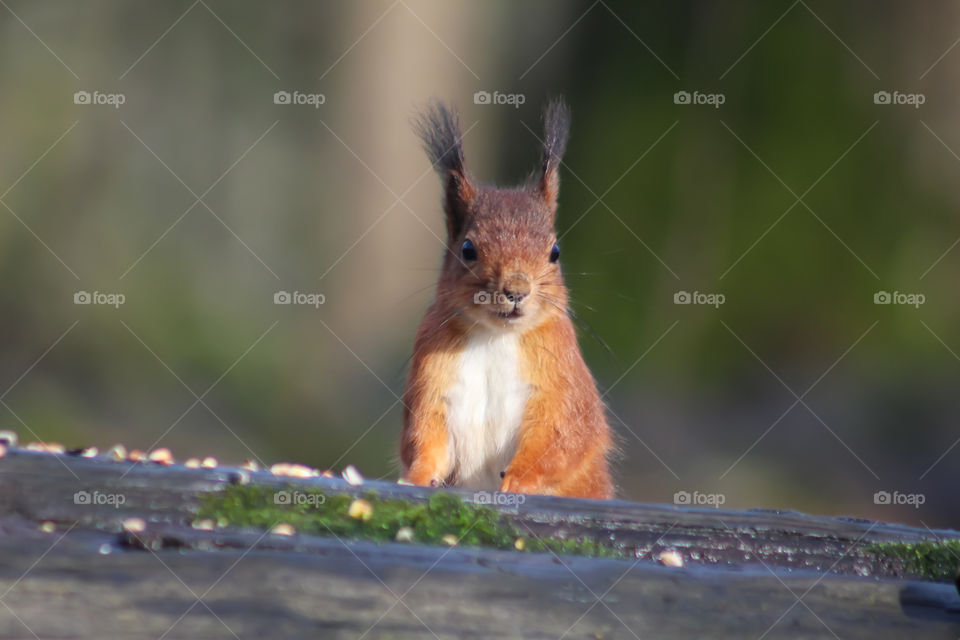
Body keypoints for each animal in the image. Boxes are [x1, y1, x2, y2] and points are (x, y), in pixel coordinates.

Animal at [400, 99, 614, 500]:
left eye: (555, 252)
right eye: (468, 249)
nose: (516, 290)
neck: (495, 336)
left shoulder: (561, 379)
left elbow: (564, 436)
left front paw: (520, 478)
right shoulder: (431, 379)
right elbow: (424, 438)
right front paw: (417, 476)